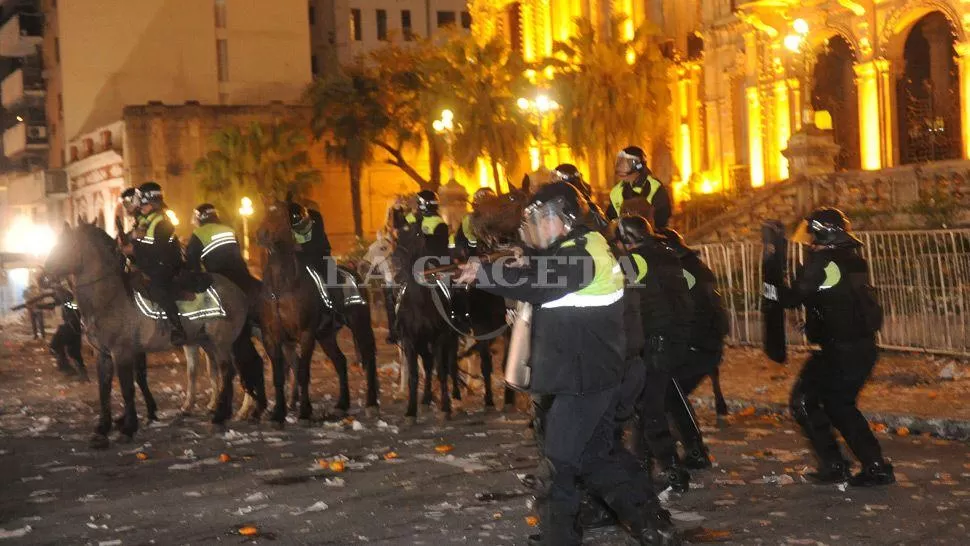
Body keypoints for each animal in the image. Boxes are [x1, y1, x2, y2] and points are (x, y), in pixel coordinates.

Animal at [45, 222, 250, 446]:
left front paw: (128, 428)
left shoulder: (122, 352)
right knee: (225, 372)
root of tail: (238, 290)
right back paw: (223, 412)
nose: (45, 273)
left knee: (227, 371)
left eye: (69, 245)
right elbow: (104, 391)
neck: (110, 298)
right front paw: (102, 429)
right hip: (206, 342)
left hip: (221, 343)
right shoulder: (104, 355)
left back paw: (220, 415)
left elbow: (128, 389)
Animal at [255, 201, 380, 424]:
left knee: (368, 356)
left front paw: (305, 411)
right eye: (263, 211)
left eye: (279, 215)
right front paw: (278, 413)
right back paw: (341, 405)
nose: (262, 234)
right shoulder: (272, 337)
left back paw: (371, 404)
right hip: (326, 335)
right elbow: (279, 376)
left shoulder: (306, 334)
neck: (282, 286)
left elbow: (303, 372)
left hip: (359, 324)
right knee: (340, 361)